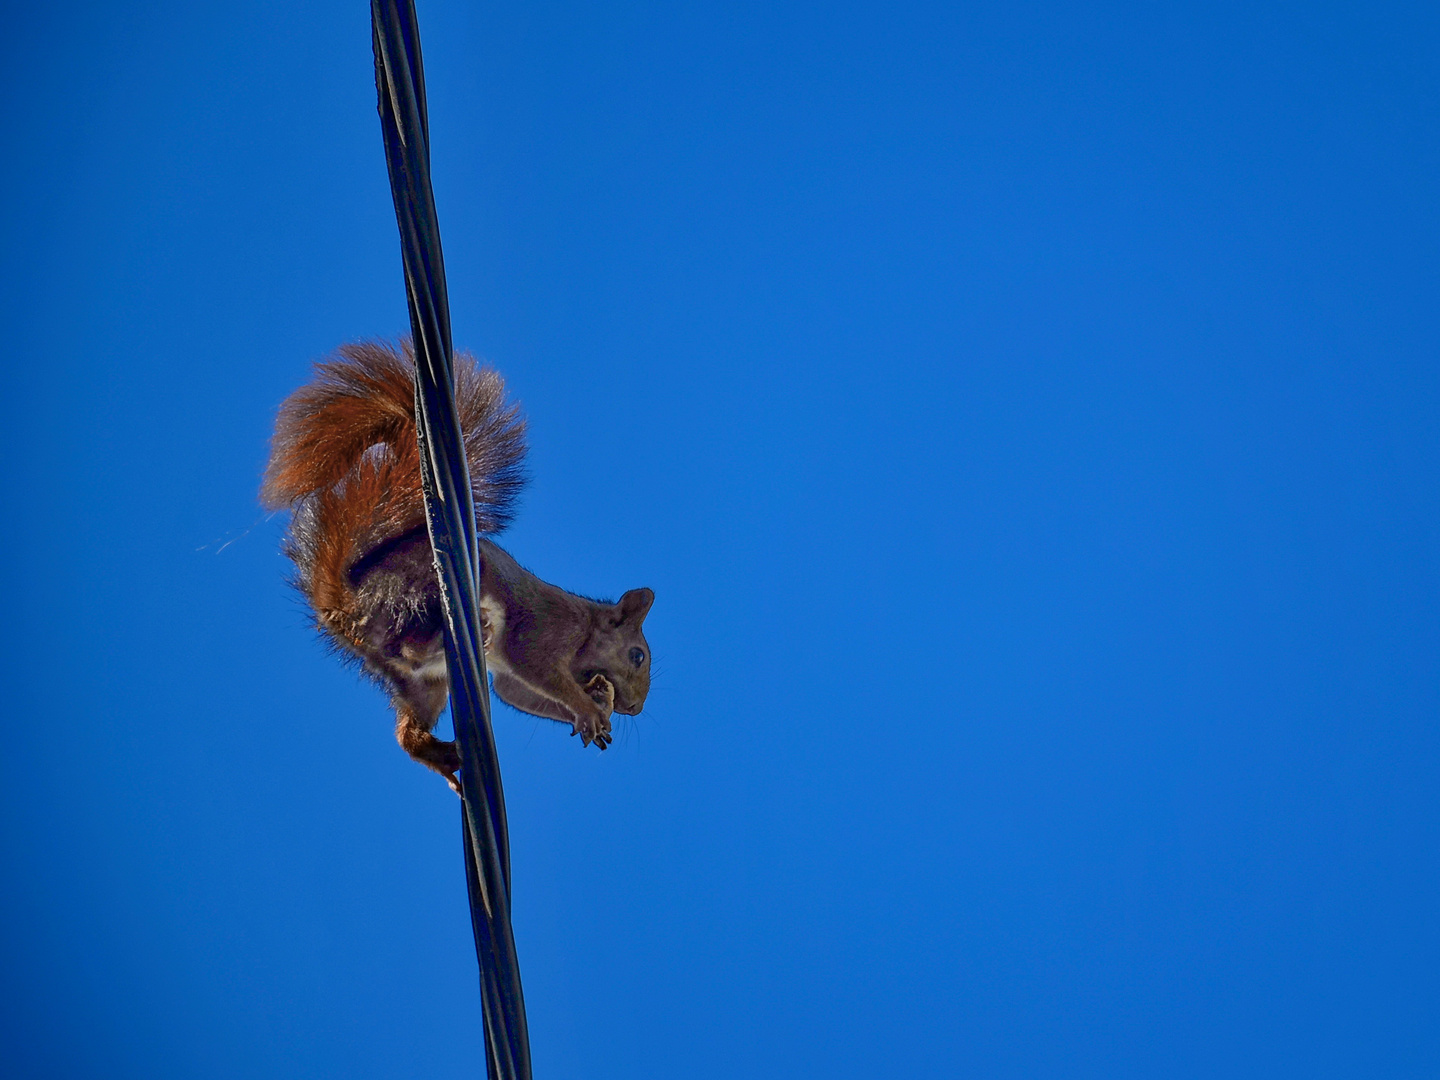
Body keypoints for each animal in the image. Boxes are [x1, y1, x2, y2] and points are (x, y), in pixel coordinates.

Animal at [262, 342, 656, 789]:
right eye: (637, 655)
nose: (634, 709)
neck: (586, 628)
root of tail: (344, 608)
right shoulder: (545, 629)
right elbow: (530, 663)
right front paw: (588, 709)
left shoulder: (513, 677)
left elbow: (516, 691)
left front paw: (596, 705)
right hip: (413, 594)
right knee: (411, 646)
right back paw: (461, 636)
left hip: (421, 685)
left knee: (407, 731)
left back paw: (443, 757)